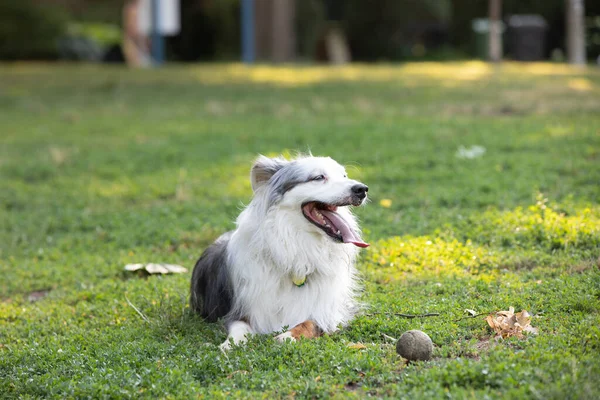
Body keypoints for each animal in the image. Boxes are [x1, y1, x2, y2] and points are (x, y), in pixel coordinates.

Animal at [191, 155, 370, 348]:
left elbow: (309, 323)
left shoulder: (328, 312)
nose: (362, 189)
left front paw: (287, 336)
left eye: (344, 176)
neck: (298, 249)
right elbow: (238, 326)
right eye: (318, 177)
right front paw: (231, 343)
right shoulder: (243, 309)